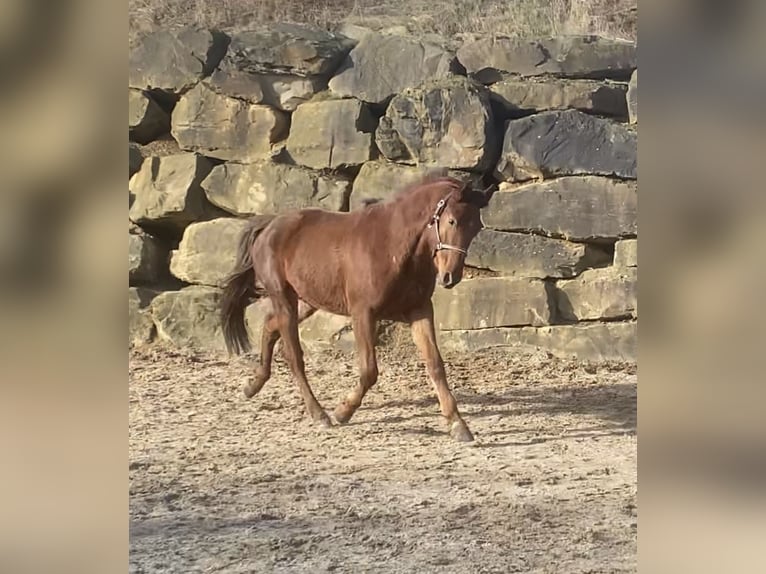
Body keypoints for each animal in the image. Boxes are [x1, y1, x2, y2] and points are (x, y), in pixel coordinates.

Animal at [220, 173, 492, 444]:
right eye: (452, 221)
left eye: (476, 228)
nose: (450, 277)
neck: (393, 245)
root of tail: (270, 224)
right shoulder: (363, 313)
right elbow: (369, 370)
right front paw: (343, 412)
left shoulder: (420, 310)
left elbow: (435, 364)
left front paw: (458, 425)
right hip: (284, 297)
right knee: (293, 355)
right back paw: (319, 414)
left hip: (307, 300)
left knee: (270, 325)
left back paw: (252, 386)